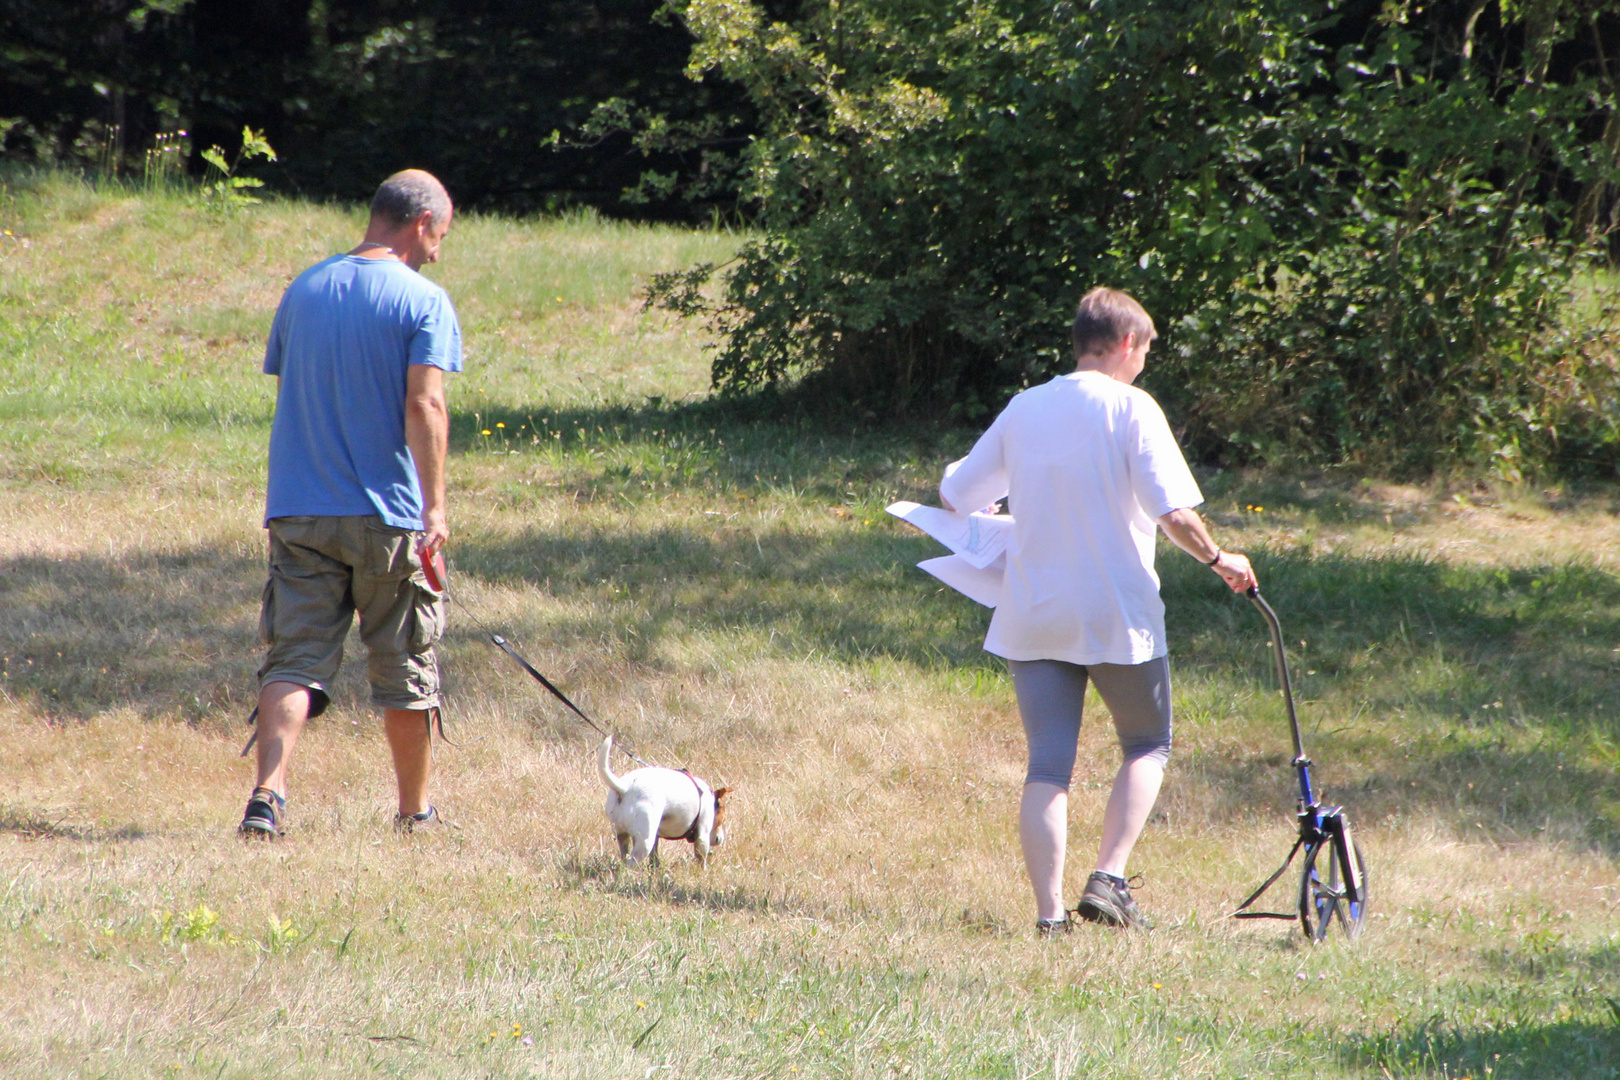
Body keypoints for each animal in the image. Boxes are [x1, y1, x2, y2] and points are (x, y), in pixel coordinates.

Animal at [599, 731, 732, 867]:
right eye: (723, 818)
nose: (720, 839)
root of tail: (624, 788)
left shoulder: (656, 838)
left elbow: (654, 859)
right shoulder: (702, 835)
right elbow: (701, 859)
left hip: (622, 834)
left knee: (624, 856)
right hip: (644, 841)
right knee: (630, 863)